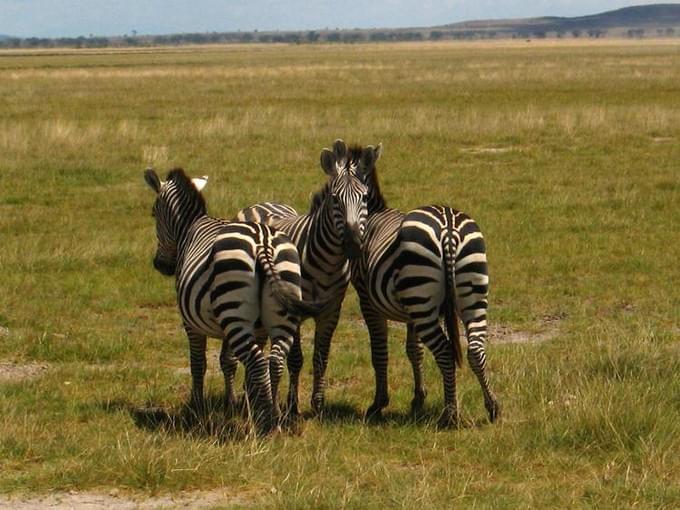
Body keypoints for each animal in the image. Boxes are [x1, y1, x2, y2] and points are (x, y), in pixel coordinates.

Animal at [143, 167, 324, 434]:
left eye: (154, 213)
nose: (161, 265)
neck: (190, 228)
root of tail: (264, 244)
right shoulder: (248, 327)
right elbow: (229, 362)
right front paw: (237, 402)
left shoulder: (192, 323)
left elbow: (199, 363)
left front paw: (197, 407)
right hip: (279, 309)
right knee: (274, 360)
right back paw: (274, 413)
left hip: (235, 310)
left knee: (258, 362)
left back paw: (267, 421)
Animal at [234, 139, 372, 414]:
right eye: (335, 199)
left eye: (364, 198)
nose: (353, 245)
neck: (327, 265)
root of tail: (262, 203)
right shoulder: (294, 310)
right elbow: (296, 358)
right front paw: (291, 405)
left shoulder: (332, 310)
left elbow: (321, 357)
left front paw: (317, 405)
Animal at [346, 146, 500, 426]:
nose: (351, 243)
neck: (373, 214)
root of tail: (448, 228)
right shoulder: (410, 313)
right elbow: (413, 350)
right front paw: (418, 399)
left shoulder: (368, 302)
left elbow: (379, 352)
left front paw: (378, 404)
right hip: (466, 292)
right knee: (475, 350)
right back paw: (492, 407)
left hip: (423, 302)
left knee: (446, 352)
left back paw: (450, 415)